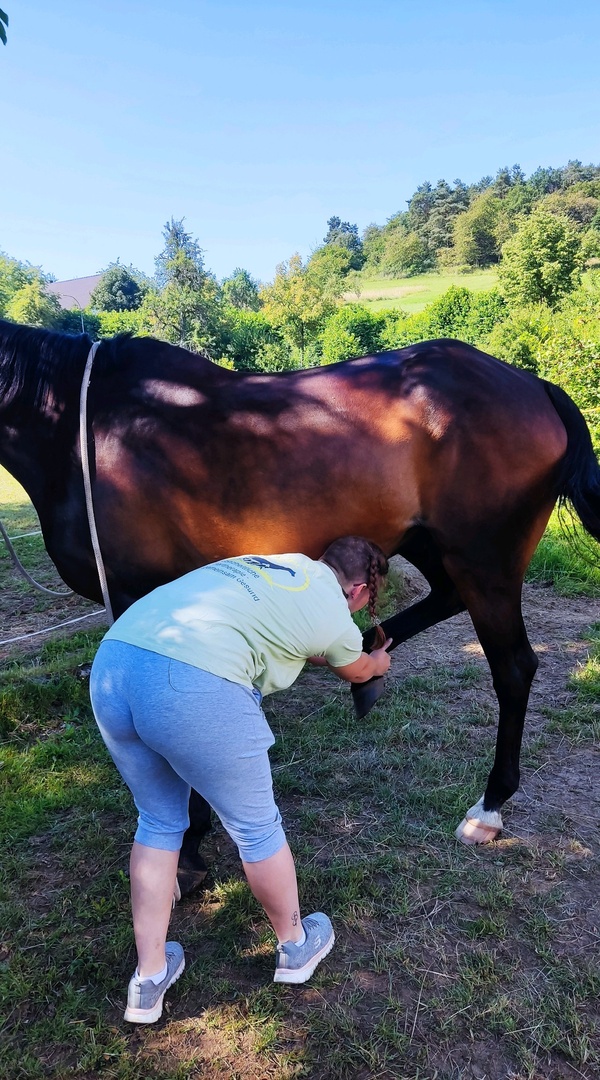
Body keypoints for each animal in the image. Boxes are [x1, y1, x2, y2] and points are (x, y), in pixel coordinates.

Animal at [1, 318, 599, 888]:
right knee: (443, 602)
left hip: (484, 562)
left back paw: (488, 809)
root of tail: (533, 385)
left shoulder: (143, 598)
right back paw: (367, 666)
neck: (87, 433)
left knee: (514, 669)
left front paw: (188, 848)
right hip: (430, 544)